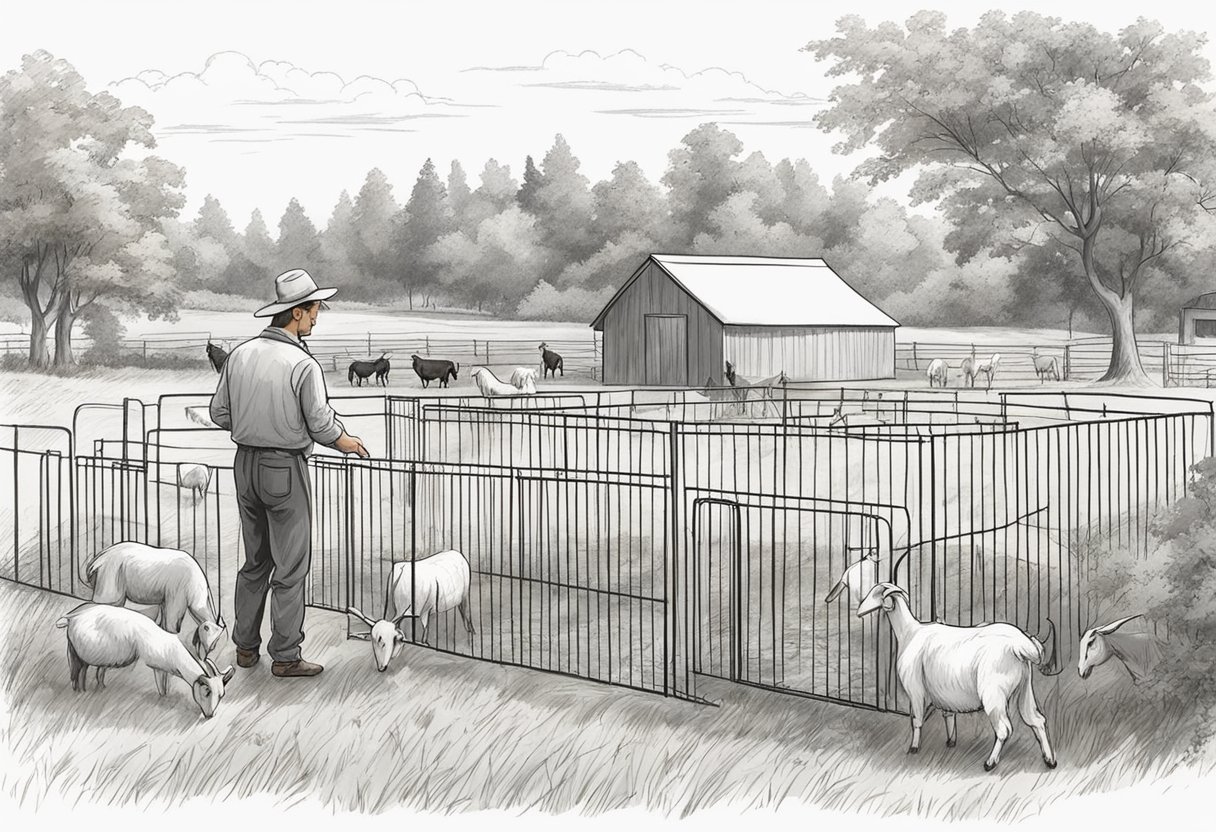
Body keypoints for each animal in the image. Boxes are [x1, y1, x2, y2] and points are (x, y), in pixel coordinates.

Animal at [55, 600, 234, 720]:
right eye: (206, 691)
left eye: (222, 694)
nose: (210, 715)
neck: (169, 648)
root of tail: (70, 617)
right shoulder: (156, 666)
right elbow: (161, 689)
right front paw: (163, 700)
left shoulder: (163, 668)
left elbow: (164, 686)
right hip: (78, 653)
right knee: (76, 674)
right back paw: (79, 693)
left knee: (84, 672)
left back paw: (92, 690)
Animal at [86, 540, 228, 661]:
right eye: (213, 645)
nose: (206, 659)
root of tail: (95, 561)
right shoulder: (179, 589)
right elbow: (172, 622)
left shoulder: (167, 595)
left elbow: (165, 617)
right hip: (112, 574)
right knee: (107, 601)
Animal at [860, 581, 1060, 768]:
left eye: (876, 594)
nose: (859, 612)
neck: (910, 632)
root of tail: (1022, 644)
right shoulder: (944, 693)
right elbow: (948, 716)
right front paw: (951, 742)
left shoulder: (915, 690)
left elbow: (916, 720)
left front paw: (914, 748)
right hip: (1025, 689)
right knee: (1037, 720)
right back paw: (1050, 760)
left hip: (993, 694)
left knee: (1004, 729)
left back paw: (990, 762)